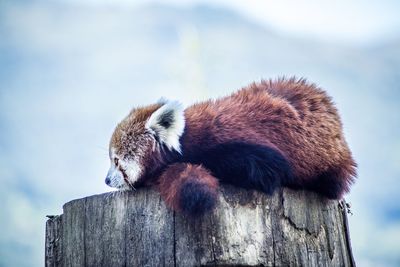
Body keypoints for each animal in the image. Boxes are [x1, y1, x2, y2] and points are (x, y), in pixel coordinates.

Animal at [105, 78, 356, 218]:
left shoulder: (245, 147)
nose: (107, 180)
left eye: (117, 161)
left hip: (330, 160)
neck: (187, 139)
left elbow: (263, 170)